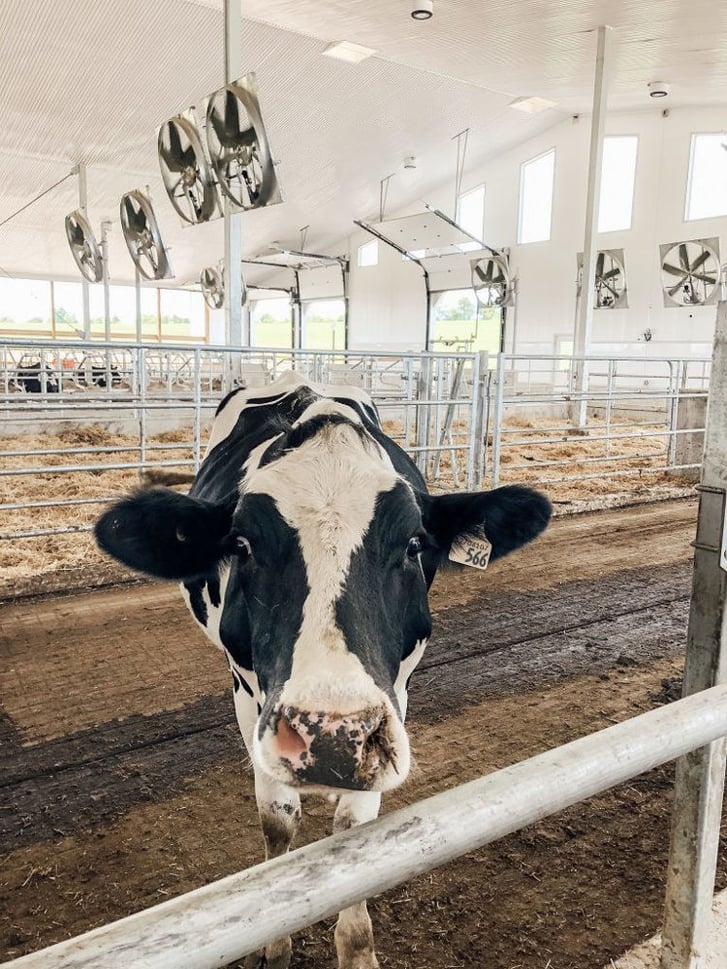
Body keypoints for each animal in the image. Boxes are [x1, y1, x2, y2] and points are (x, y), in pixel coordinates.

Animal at [95, 372, 552, 968]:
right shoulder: (247, 694)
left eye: (414, 544)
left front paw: (356, 946)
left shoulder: (394, 695)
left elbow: (354, 831)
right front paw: (273, 945)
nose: (331, 737)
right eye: (242, 544)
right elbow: (277, 817)